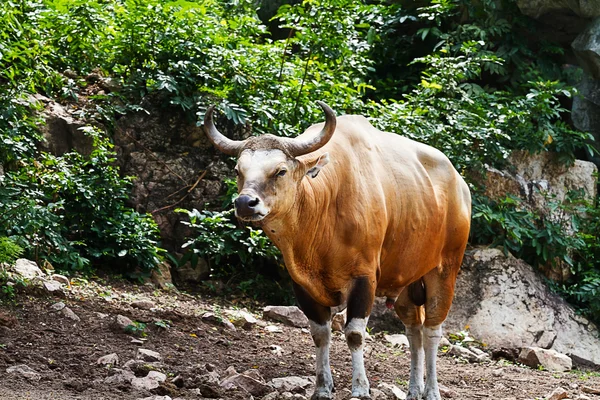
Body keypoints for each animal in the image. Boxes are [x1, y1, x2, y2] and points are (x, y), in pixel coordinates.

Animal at [204, 102, 472, 400]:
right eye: (238, 170)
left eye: (280, 171)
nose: (245, 203)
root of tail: (460, 185)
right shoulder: (302, 284)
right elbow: (320, 334)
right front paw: (322, 387)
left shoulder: (365, 278)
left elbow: (354, 333)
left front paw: (360, 387)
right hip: (406, 281)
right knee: (414, 330)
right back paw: (414, 389)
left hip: (445, 270)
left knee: (432, 330)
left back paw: (432, 390)